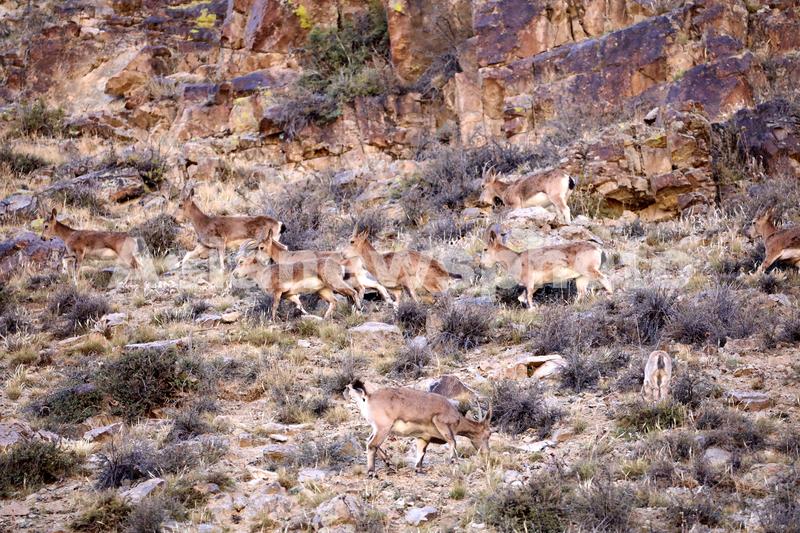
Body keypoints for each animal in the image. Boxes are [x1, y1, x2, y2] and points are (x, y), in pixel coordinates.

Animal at [254, 229, 396, 308]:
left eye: (261, 247)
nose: (257, 259)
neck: (287, 255)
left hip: (350, 280)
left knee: (360, 289)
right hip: (359, 278)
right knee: (376, 286)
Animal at [345, 379, 491, 476]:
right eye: (488, 434)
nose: (486, 453)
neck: (457, 418)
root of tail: (367, 397)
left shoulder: (423, 437)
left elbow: (421, 452)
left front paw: (418, 469)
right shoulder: (441, 422)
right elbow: (452, 441)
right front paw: (454, 460)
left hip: (378, 428)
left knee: (369, 441)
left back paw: (389, 463)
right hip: (383, 427)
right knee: (372, 445)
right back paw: (372, 472)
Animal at [480, 225, 613, 308]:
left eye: (485, 249)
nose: (481, 264)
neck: (515, 259)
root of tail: (597, 249)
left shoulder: (529, 282)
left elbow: (528, 297)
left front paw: (533, 309)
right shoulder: (536, 285)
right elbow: (522, 298)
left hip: (589, 270)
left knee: (603, 278)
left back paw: (610, 296)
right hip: (581, 278)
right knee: (582, 293)